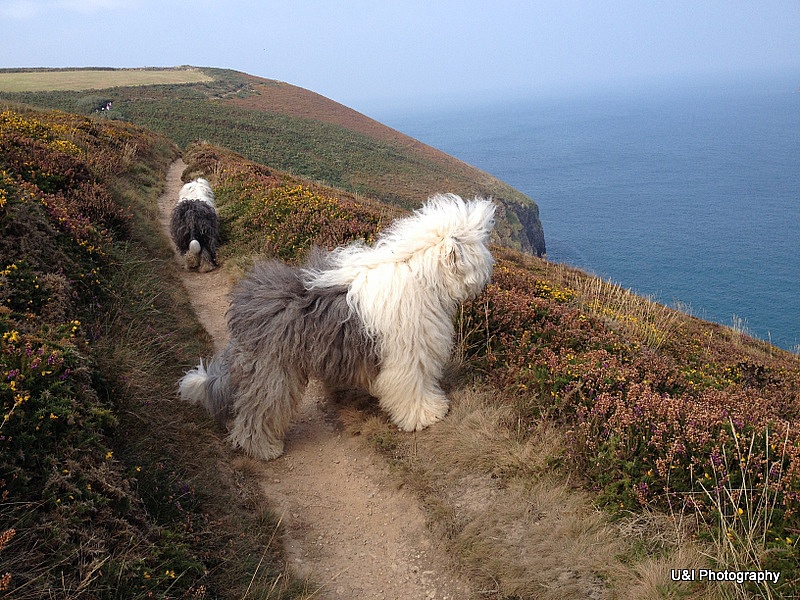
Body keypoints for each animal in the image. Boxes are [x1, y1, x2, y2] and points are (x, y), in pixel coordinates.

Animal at [179, 193, 495, 460]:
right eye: (478, 249)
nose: (487, 274)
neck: (421, 276)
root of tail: (246, 307)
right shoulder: (408, 354)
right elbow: (412, 387)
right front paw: (426, 415)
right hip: (273, 370)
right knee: (259, 409)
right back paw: (264, 448)